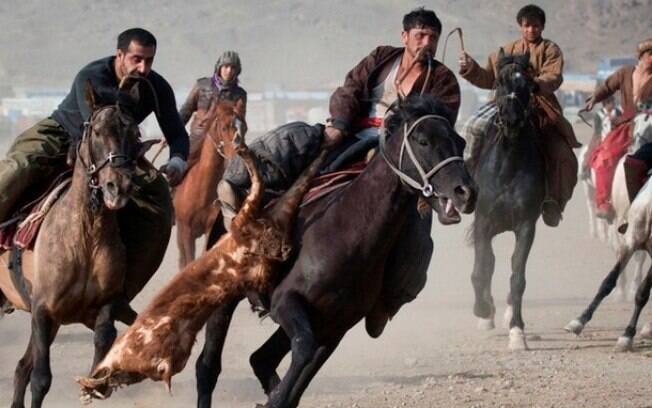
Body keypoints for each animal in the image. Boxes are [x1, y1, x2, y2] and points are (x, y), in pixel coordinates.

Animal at [0, 80, 162, 408]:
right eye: (96, 131)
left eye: (134, 134)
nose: (118, 186)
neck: (85, 238)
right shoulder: (42, 310)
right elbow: (41, 379)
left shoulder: (103, 303)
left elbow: (104, 335)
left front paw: (96, 381)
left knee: (21, 368)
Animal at [174, 99, 246, 268]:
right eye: (224, 127)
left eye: (245, 128)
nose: (238, 157)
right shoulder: (186, 231)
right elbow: (188, 262)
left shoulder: (209, 229)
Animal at [192, 95, 474, 408]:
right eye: (423, 141)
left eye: (460, 141)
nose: (465, 192)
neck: (347, 235)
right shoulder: (286, 302)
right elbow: (302, 350)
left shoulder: (334, 326)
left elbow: (296, 380)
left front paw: (276, 397)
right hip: (225, 296)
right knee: (208, 366)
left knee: (260, 359)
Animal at [468, 49, 544, 350]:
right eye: (499, 82)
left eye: (528, 84)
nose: (511, 119)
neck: (508, 166)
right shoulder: (483, 223)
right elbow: (481, 269)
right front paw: (482, 310)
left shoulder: (525, 226)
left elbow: (517, 276)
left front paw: (517, 332)